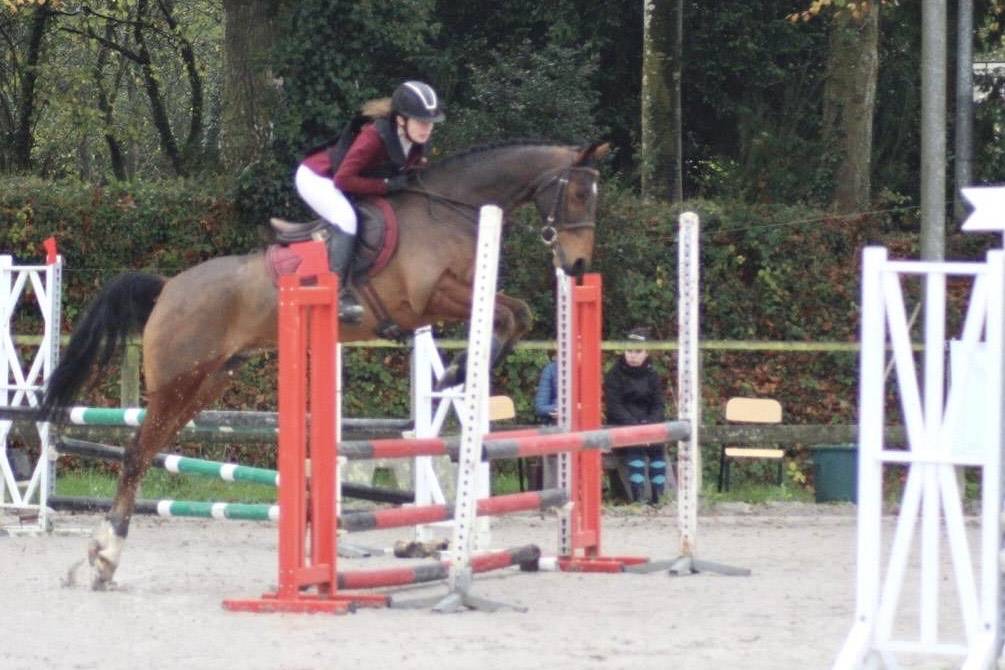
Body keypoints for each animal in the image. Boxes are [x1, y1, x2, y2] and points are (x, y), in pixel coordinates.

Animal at [41, 139, 608, 589]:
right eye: (579, 194)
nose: (578, 265)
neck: (450, 208)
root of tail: (167, 288)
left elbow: (519, 313)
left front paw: (461, 370)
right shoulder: (429, 298)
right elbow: (510, 313)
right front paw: (458, 371)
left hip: (205, 385)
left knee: (145, 451)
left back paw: (104, 556)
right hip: (177, 382)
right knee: (136, 453)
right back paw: (106, 555)